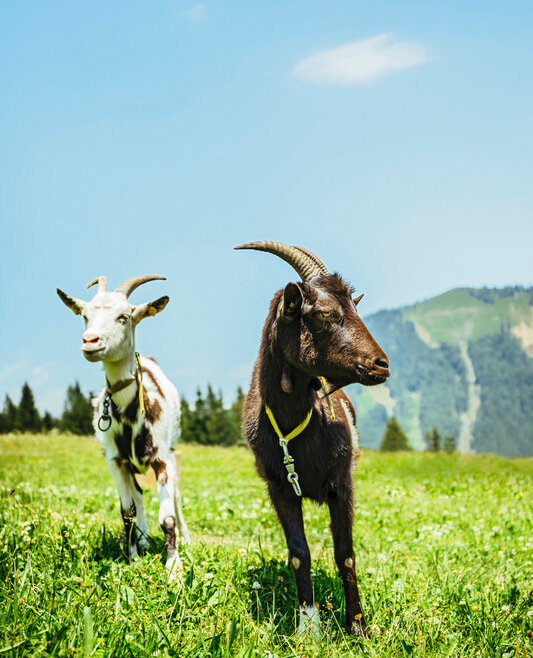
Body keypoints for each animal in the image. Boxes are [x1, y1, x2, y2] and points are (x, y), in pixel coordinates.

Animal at [57, 275, 189, 580]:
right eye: (85, 316)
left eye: (124, 317)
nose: (90, 341)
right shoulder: (115, 461)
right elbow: (127, 511)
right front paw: (133, 557)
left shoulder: (163, 459)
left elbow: (167, 516)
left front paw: (174, 568)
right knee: (138, 496)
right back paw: (144, 538)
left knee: (176, 496)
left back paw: (186, 539)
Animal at [235, 241, 390, 637]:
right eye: (324, 313)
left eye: (355, 307)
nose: (382, 364)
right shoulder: (280, 486)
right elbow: (298, 553)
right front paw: (308, 625)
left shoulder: (342, 484)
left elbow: (345, 554)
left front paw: (357, 627)